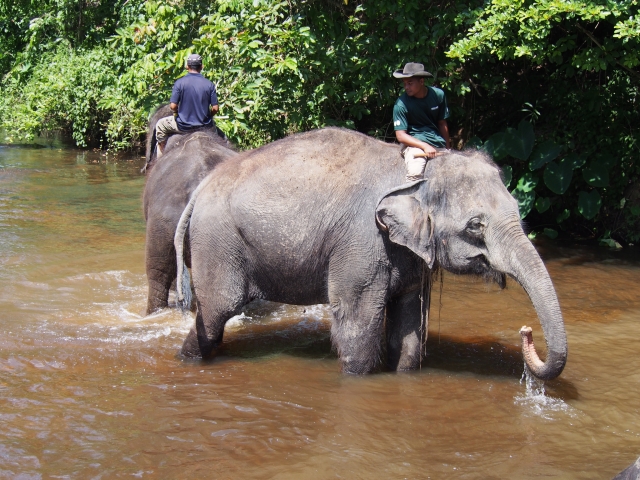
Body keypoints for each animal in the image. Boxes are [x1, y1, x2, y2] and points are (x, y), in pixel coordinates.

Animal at [174, 126, 564, 378]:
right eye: (475, 226)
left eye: (519, 209)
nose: (526, 330)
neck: (418, 172)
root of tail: (201, 188)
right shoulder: (361, 242)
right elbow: (357, 326)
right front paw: (356, 375)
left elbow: (408, 330)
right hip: (217, 242)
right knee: (217, 311)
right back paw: (188, 361)